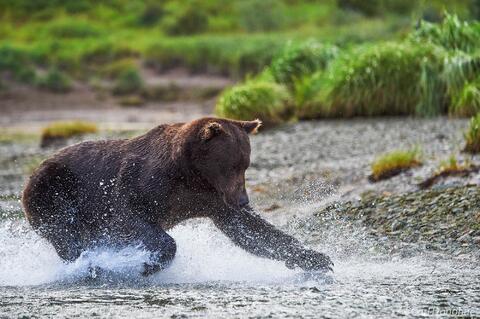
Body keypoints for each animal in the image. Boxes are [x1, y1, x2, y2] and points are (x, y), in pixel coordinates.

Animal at [21, 117, 330, 276]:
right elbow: (129, 216)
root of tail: (29, 176)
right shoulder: (139, 183)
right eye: (233, 165)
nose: (244, 201)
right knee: (65, 233)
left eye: (246, 164)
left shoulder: (211, 199)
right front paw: (148, 264)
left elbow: (250, 231)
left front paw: (316, 258)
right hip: (53, 191)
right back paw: (89, 266)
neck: (191, 173)